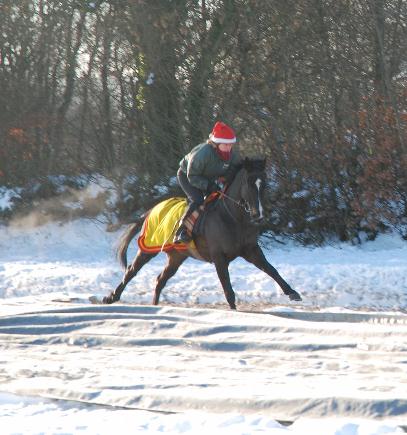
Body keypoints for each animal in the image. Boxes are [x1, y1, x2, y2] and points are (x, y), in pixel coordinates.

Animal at [103, 159, 302, 310]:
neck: (233, 218)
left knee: (160, 279)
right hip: (148, 248)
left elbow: (271, 269)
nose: (258, 215)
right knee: (131, 271)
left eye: (264, 184)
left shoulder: (250, 249)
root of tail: (151, 210)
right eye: (248, 182)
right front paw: (234, 310)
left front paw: (292, 293)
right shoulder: (219, 257)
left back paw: (155, 305)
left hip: (177, 256)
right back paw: (111, 297)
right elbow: (228, 289)